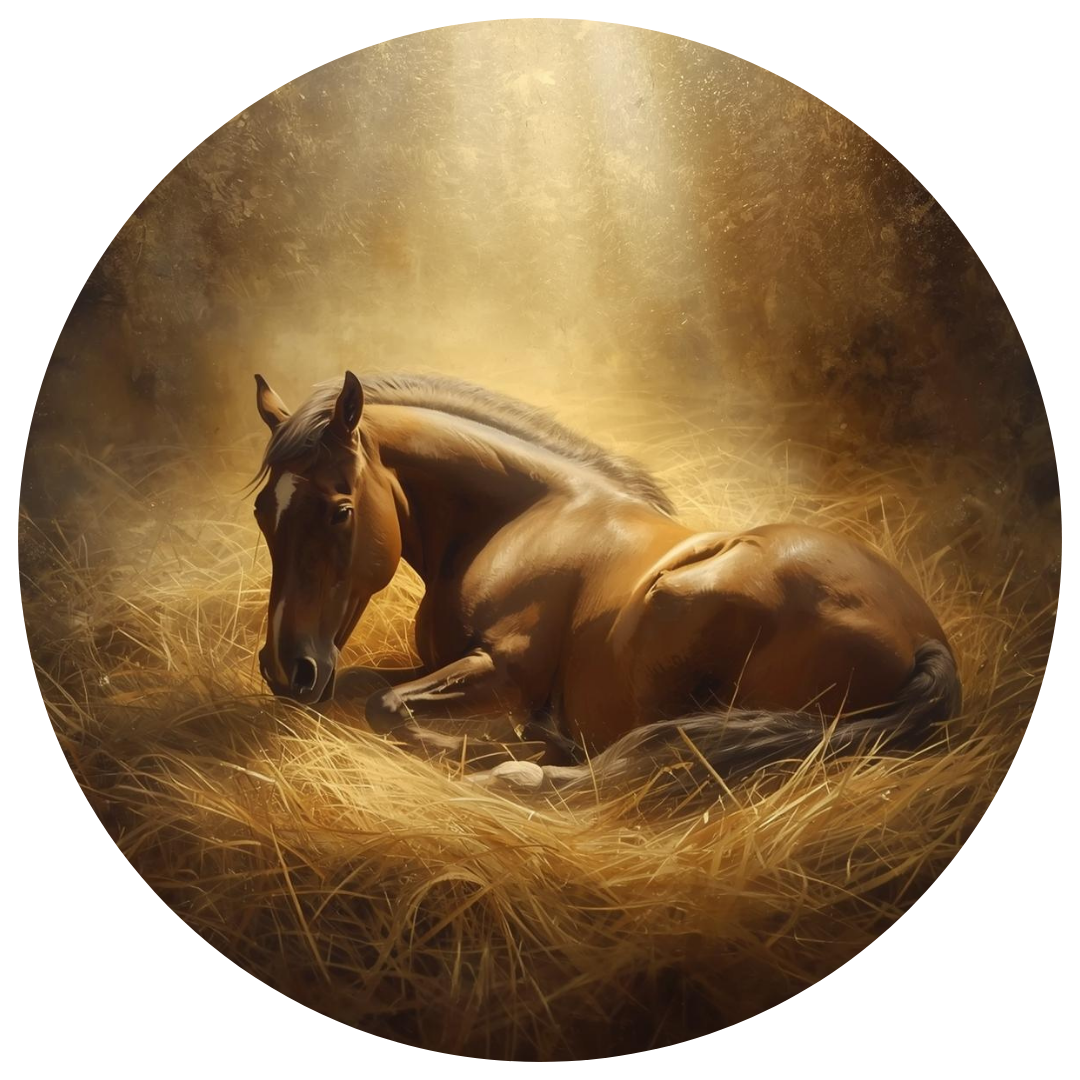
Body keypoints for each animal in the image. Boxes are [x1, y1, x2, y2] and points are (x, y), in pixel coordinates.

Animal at [251, 370, 961, 794]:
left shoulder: (504, 669)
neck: (526, 516)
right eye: (262, 511)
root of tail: (925, 638)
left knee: (651, 759)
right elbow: (368, 688)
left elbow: (386, 706)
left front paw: (503, 743)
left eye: (340, 511)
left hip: (675, 599)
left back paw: (525, 769)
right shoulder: (433, 663)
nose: (288, 670)